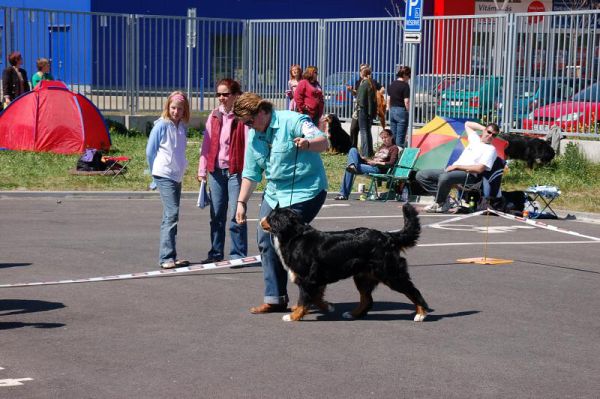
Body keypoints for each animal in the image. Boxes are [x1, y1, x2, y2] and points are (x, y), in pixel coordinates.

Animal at [260, 203, 428, 322]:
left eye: (270, 217)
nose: (261, 220)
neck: (295, 236)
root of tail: (387, 236)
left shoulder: (308, 279)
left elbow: (304, 300)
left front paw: (293, 316)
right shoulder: (317, 280)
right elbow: (315, 297)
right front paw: (328, 307)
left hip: (391, 274)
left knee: (413, 291)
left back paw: (421, 314)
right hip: (362, 277)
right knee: (367, 300)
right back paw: (353, 314)